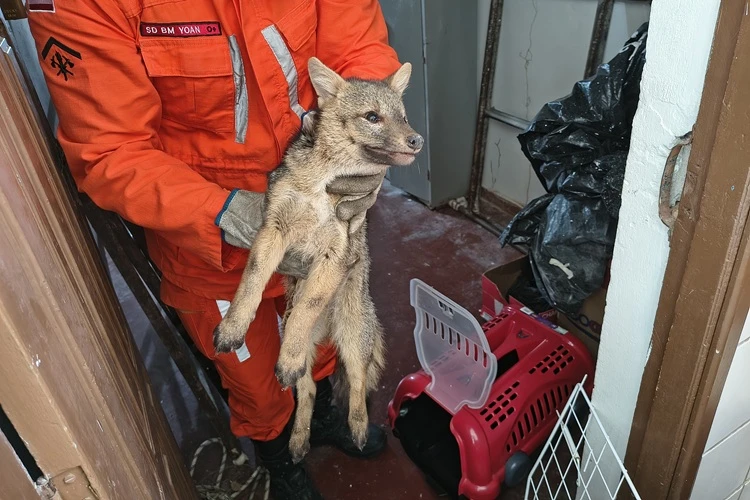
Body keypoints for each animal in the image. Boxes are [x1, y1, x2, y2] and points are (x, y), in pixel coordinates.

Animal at [213, 56, 423, 461]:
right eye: (372, 117)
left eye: (404, 118)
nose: (417, 140)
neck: (321, 184)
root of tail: (329, 329)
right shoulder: (273, 229)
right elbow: (251, 283)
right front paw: (233, 327)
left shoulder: (334, 252)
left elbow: (306, 308)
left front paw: (287, 356)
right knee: (308, 388)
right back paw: (297, 439)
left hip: (355, 340)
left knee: (356, 383)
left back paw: (357, 429)